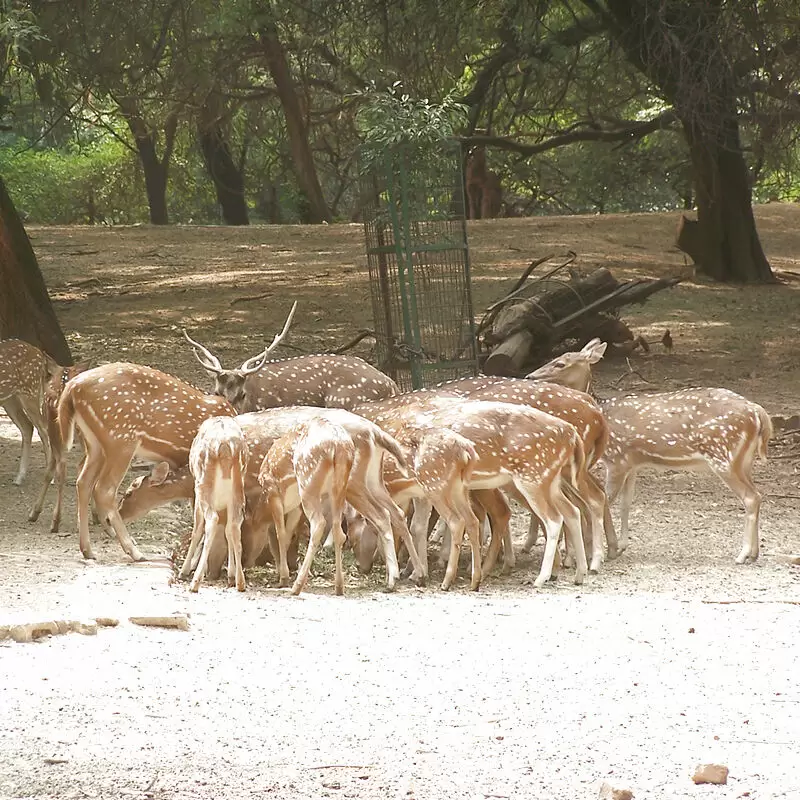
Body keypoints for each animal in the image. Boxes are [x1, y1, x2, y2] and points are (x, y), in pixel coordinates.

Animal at [57, 364, 233, 564]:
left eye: (130, 493)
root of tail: (72, 387)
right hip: (121, 437)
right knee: (104, 489)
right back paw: (134, 551)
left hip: (94, 443)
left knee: (83, 482)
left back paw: (88, 550)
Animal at [183, 416, 248, 592]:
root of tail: (226, 445)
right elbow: (227, 530)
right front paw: (230, 575)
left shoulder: (197, 495)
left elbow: (197, 530)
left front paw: (184, 570)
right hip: (238, 489)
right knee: (234, 525)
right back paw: (239, 582)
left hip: (203, 485)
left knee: (211, 520)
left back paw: (195, 583)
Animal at [520, 338, 772, 564]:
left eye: (560, 363)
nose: (530, 376)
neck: (603, 410)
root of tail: (758, 412)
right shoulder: (632, 463)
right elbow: (626, 502)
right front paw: (622, 545)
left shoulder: (618, 459)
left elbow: (606, 499)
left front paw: (602, 550)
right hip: (743, 460)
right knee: (758, 495)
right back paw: (755, 553)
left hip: (723, 455)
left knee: (750, 497)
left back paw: (742, 555)